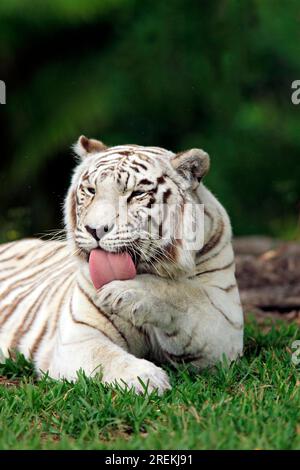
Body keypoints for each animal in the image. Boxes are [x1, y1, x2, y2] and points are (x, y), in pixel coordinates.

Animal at [0, 136, 244, 392]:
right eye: (91, 190)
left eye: (136, 194)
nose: (95, 229)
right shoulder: (79, 335)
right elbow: (105, 356)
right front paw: (147, 378)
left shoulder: (225, 325)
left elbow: (184, 295)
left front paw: (122, 292)